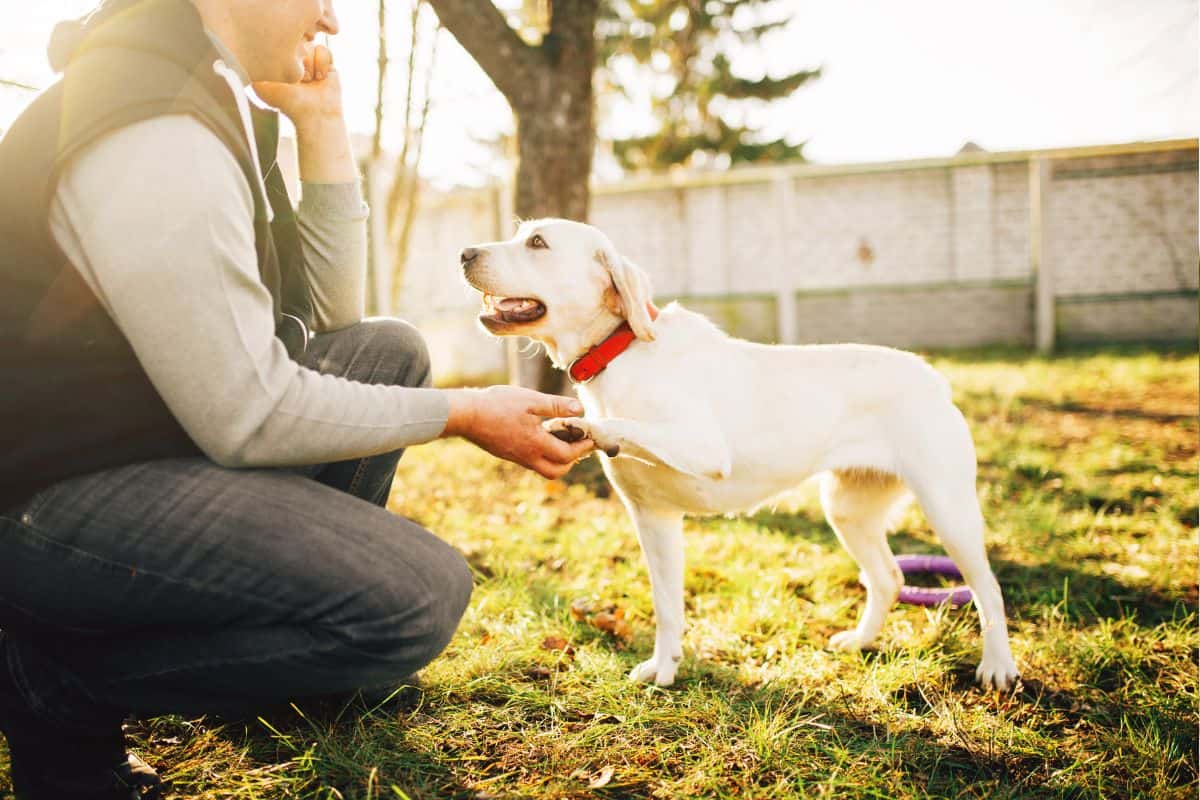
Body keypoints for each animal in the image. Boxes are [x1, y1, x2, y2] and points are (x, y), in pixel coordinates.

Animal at [458, 217, 1022, 690]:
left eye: (537, 242)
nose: (463, 252)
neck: (622, 352)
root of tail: (931, 376)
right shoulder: (653, 520)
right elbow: (667, 605)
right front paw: (664, 669)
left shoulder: (703, 447)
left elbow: (621, 423)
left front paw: (584, 425)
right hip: (847, 511)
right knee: (888, 578)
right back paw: (860, 642)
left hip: (949, 512)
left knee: (988, 589)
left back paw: (997, 667)